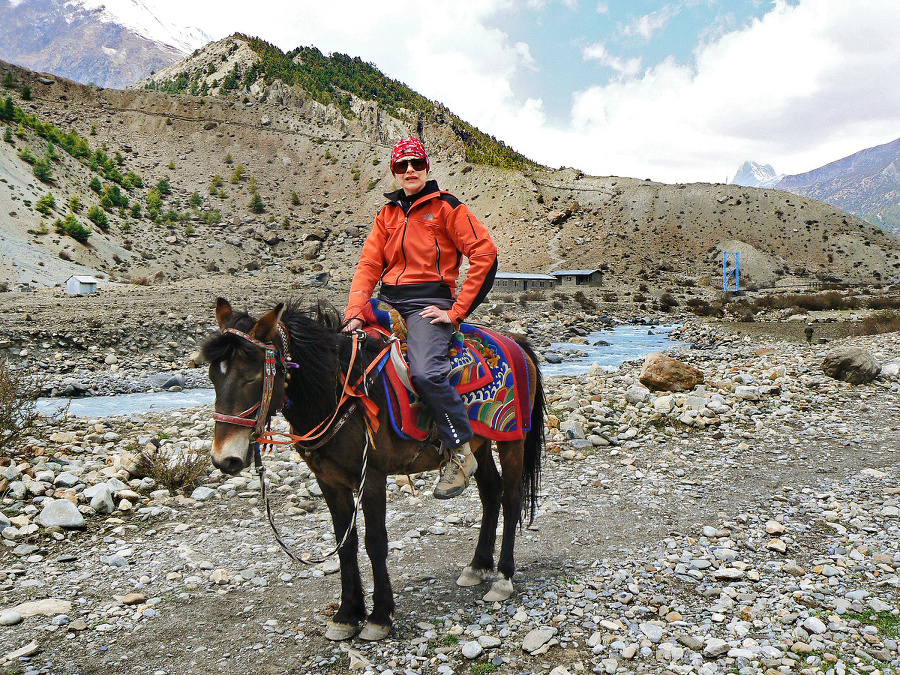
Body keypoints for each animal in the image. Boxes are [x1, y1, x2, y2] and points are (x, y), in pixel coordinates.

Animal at [200, 298, 544, 640]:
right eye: (213, 377)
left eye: (252, 378)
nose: (224, 459)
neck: (338, 392)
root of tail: (516, 342)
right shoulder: (329, 482)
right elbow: (346, 544)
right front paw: (347, 614)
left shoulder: (373, 477)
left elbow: (375, 543)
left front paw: (379, 617)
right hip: (481, 445)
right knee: (491, 494)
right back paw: (477, 566)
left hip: (512, 440)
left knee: (512, 500)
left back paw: (503, 578)